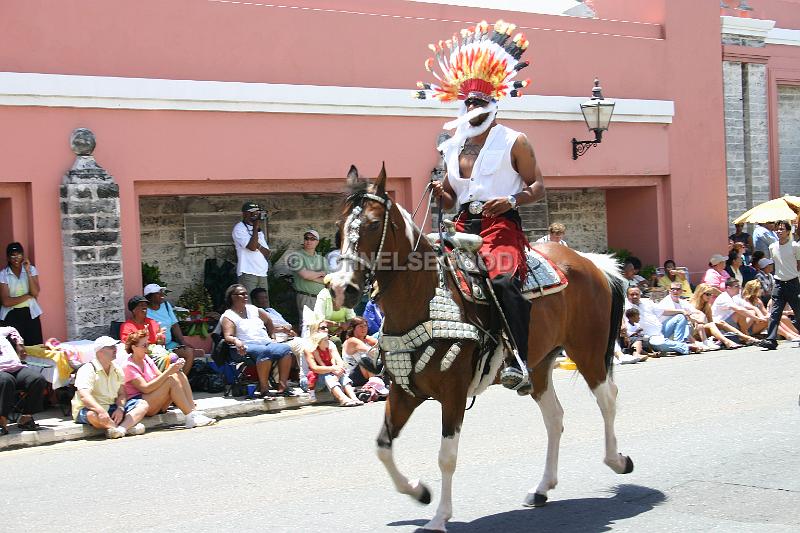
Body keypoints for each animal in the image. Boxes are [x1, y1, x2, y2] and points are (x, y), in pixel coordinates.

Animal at [328, 164, 636, 528]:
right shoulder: (404, 393)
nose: (342, 288)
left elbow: (446, 456)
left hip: (587, 350)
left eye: (374, 224)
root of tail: (590, 262)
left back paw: (617, 460)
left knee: (607, 399)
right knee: (555, 418)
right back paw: (542, 488)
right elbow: (382, 447)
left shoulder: (453, 393)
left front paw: (439, 517)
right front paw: (419, 492)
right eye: (338, 228)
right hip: (539, 364)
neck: (423, 298)